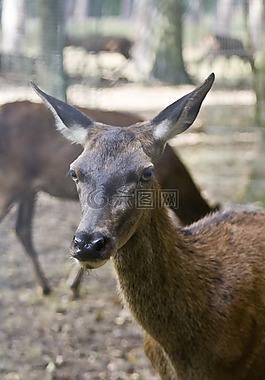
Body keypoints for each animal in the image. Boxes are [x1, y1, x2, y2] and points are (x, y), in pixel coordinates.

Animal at [0, 101, 218, 296]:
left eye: (147, 173)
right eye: (73, 173)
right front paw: (73, 285)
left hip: (28, 189)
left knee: (22, 228)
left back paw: (44, 286)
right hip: (11, 181)